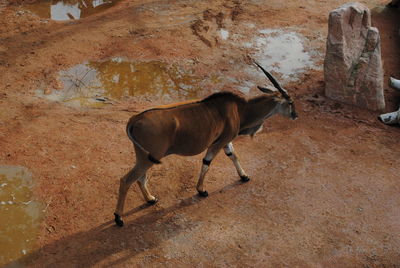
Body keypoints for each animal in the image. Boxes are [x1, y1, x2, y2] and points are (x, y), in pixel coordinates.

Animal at [112, 62, 296, 226]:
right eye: (290, 103)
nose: (295, 115)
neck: (239, 109)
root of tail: (135, 119)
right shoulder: (220, 142)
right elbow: (207, 162)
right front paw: (201, 190)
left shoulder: (226, 142)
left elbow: (233, 156)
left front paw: (244, 176)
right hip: (149, 158)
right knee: (126, 180)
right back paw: (119, 218)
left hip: (145, 157)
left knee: (140, 178)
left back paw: (150, 199)